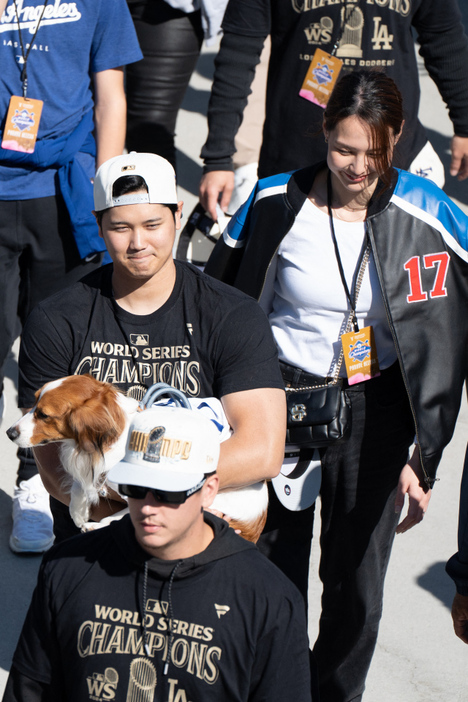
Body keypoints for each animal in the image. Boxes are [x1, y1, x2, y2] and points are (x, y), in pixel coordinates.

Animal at [5, 376, 266, 540]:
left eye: (43, 415)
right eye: (33, 404)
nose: (9, 433)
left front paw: (87, 518)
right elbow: (81, 486)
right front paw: (78, 512)